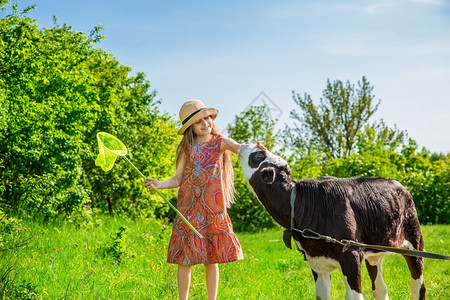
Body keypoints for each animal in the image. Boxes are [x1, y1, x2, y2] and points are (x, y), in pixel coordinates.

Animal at [239, 143, 426, 300]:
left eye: (258, 155)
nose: (245, 144)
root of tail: (399, 185)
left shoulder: (351, 253)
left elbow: (353, 296)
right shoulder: (316, 260)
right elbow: (322, 295)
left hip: (414, 241)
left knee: (418, 286)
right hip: (375, 250)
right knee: (380, 288)